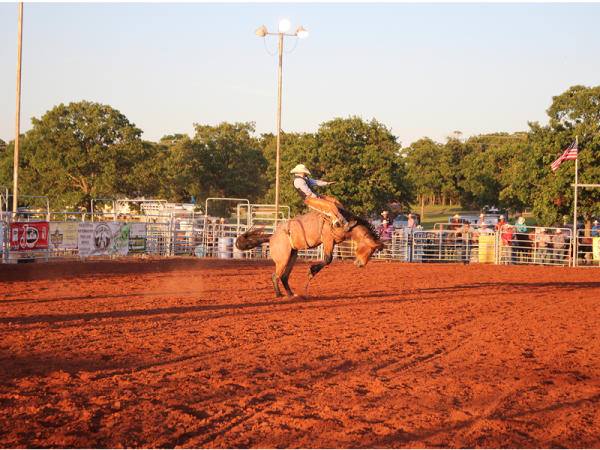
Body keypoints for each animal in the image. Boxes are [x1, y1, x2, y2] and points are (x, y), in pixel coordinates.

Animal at [232, 211, 382, 298]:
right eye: (370, 249)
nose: (361, 264)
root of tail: (271, 237)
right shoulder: (328, 239)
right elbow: (328, 259)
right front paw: (312, 271)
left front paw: (311, 272)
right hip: (283, 259)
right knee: (275, 276)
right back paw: (279, 295)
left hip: (292, 256)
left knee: (284, 276)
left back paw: (291, 294)